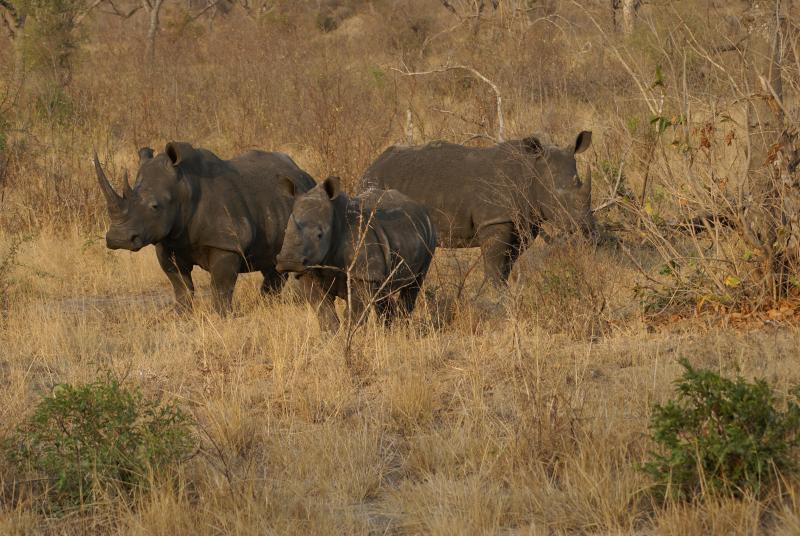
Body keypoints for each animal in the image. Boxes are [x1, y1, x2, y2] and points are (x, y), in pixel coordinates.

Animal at [94, 142, 316, 312]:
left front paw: (221, 315)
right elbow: (180, 284)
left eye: (155, 206)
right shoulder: (168, 242)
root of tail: (306, 175)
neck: (183, 188)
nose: (118, 239)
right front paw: (181, 313)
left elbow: (220, 285)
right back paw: (268, 304)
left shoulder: (226, 243)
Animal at [276, 176, 438, 330]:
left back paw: (403, 331)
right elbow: (325, 313)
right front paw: (331, 338)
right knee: (383, 294)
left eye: (319, 235)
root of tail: (420, 207)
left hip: (430, 236)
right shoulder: (308, 271)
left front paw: (354, 336)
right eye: (285, 231)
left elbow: (354, 315)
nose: (288, 262)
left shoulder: (364, 273)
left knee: (414, 285)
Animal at [360, 131, 592, 286]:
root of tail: (370, 167)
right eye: (557, 198)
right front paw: (496, 299)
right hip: (376, 185)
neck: (530, 171)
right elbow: (494, 266)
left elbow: (506, 265)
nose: (586, 228)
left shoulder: (524, 221)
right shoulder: (495, 219)